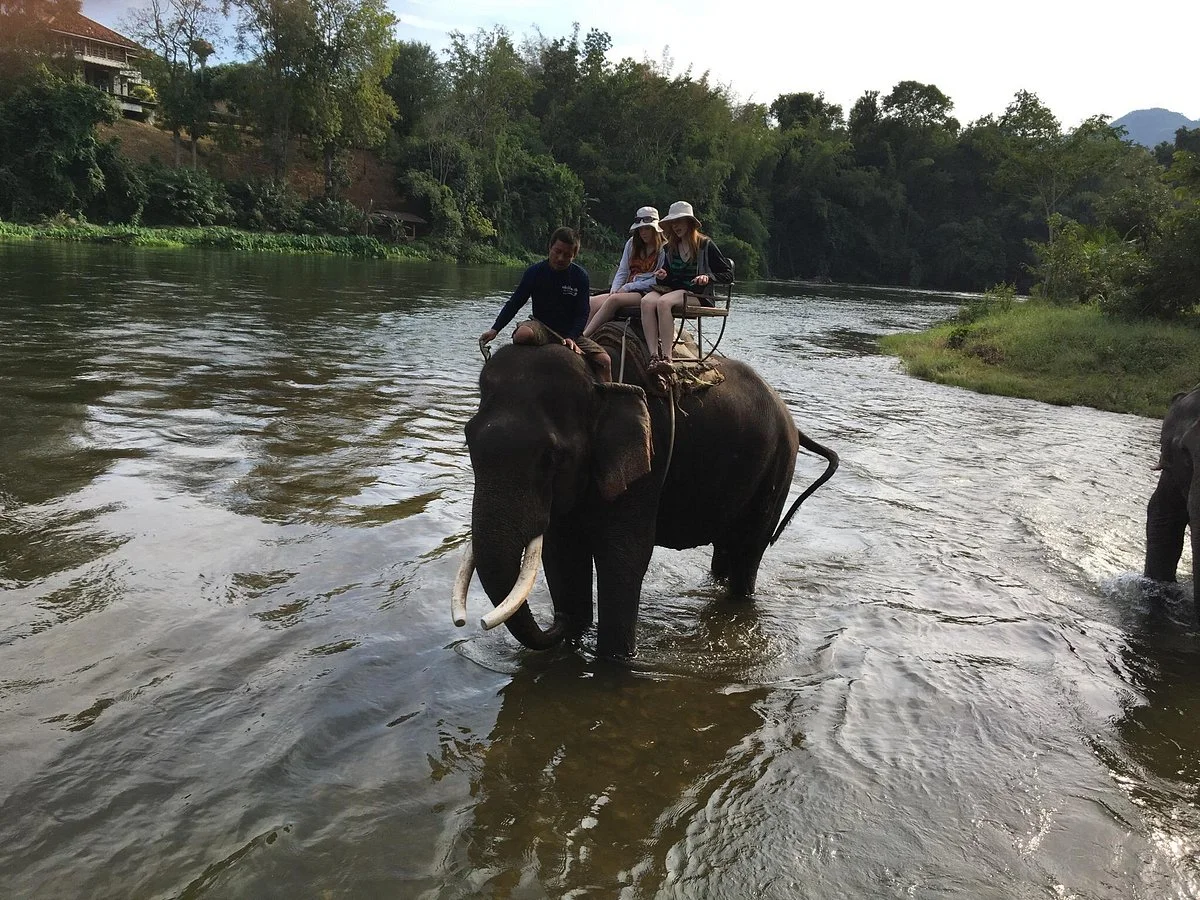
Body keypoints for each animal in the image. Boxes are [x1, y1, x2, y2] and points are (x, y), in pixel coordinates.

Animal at [451, 325, 839, 659]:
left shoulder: (648, 458)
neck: (599, 380)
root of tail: (792, 421)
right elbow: (561, 551)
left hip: (778, 466)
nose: (560, 620)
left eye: (551, 457)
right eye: (468, 441)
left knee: (748, 551)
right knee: (727, 547)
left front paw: (613, 660)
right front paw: (572, 640)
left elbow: (624, 556)